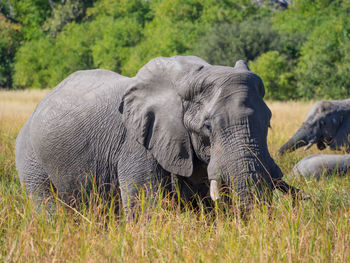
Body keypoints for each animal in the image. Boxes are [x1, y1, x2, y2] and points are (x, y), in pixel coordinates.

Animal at [16, 55, 306, 219]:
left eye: (269, 123)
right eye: (207, 127)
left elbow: (201, 204)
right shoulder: (137, 144)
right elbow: (147, 207)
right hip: (30, 160)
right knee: (48, 206)